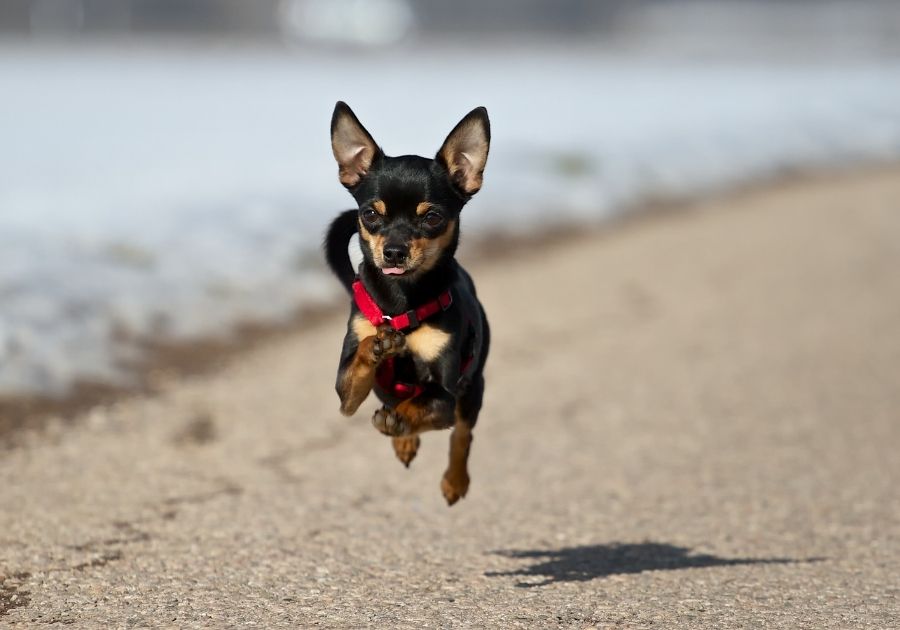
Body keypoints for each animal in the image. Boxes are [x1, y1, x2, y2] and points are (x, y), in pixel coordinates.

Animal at [326, 103, 492, 508]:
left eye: (431, 217)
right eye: (371, 214)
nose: (395, 251)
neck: (400, 301)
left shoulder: (446, 396)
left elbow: (426, 406)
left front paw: (401, 419)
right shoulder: (344, 394)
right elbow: (358, 364)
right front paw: (377, 346)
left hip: (473, 388)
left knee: (462, 434)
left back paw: (454, 479)